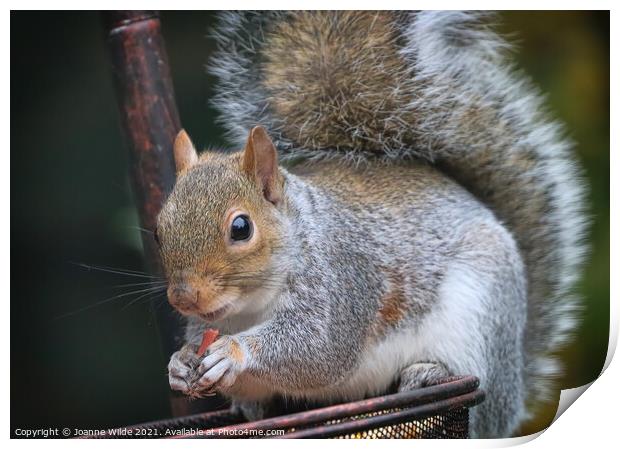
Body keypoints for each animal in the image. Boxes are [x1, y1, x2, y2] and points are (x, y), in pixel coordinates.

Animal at [156, 11, 588, 438]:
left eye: (241, 228)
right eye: (160, 230)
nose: (183, 298)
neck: (249, 308)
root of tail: (510, 400)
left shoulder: (343, 283)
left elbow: (319, 350)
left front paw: (233, 352)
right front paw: (179, 364)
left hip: (482, 315)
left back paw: (433, 373)